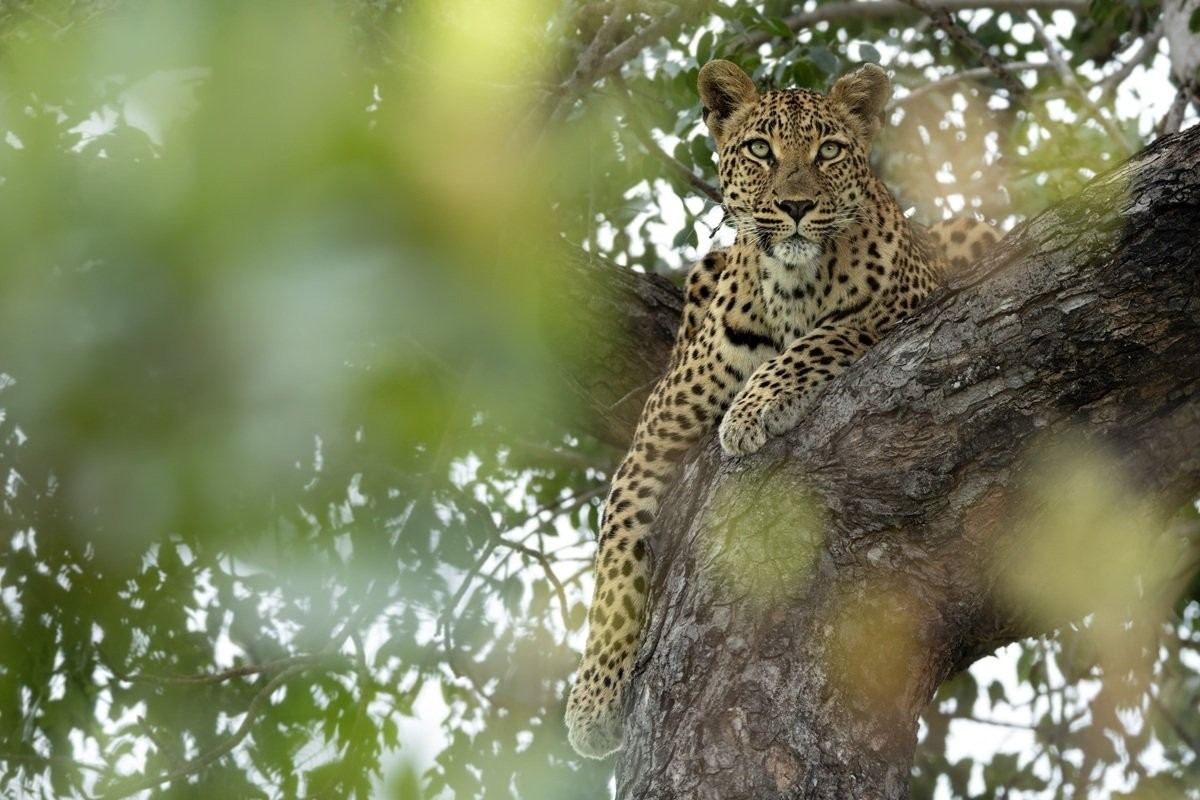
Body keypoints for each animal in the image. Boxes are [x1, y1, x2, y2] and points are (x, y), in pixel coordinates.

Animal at [565, 59, 1000, 759]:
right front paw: (593, 699)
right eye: (760, 150)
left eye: (829, 151)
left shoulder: (906, 302)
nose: (796, 206)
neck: (791, 284)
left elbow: (820, 339)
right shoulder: (656, 435)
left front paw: (751, 411)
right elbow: (616, 555)